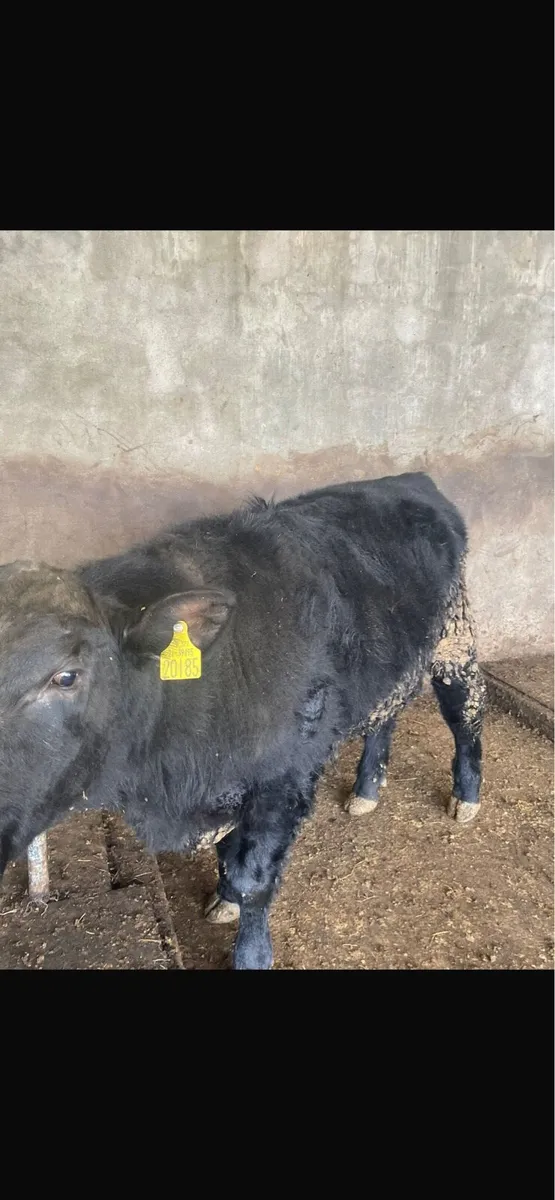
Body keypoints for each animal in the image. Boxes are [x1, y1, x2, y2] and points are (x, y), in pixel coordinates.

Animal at [0, 473, 486, 969]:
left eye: (65, 676)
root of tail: (409, 479)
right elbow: (226, 856)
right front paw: (224, 898)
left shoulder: (283, 781)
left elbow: (254, 879)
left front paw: (251, 950)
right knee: (386, 714)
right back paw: (366, 790)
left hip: (455, 637)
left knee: (466, 712)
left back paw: (466, 797)